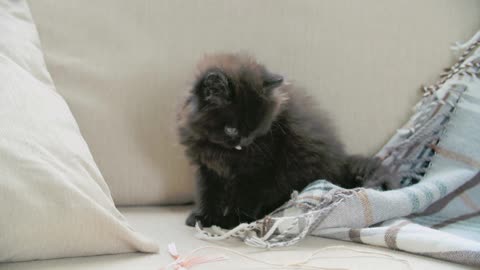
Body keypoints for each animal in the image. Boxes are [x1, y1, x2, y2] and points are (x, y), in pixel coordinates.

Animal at [178, 53, 396, 230]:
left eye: (257, 128)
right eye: (231, 129)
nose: (245, 141)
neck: (221, 151)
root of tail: (342, 165)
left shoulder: (257, 169)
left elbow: (246, 196)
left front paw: (233, 220)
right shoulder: (206, 168)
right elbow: (207, 193)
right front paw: (203, 217)